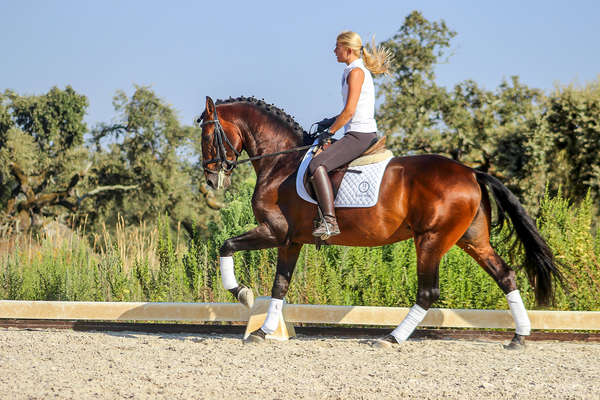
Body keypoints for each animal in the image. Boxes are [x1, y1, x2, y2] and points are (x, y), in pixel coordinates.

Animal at [198, 95, 564, 348]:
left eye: (206, 136)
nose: (212, 180)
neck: (281, 163)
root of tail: (471, 172)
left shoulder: (276, 232)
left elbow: (226, 245)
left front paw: (242, 293)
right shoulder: (292, 240)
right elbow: (280, 286)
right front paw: (263, 331)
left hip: (431, 239)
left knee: (428, 291)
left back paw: (392, 338)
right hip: (471, 239)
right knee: (505, 275)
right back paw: (519, 337)